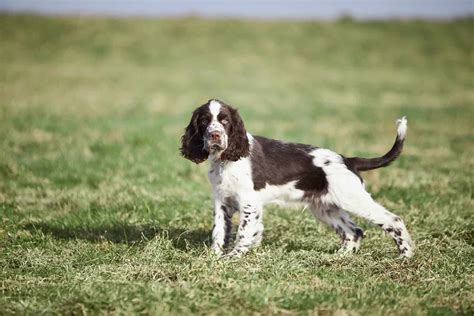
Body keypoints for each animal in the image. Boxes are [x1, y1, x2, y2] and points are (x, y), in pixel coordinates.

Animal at [180, 100, 412, 258]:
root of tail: (348, 160)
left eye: (225, 120)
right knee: (354, 231)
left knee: (393, 220)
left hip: (353, 199)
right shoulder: (222, 201)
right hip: (325, 207)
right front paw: (214, 256)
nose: (215, 135)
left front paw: (233, 256)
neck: (226, 159)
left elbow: (244, 232)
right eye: (204, 121)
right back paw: (341, 256)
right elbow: (219, 231)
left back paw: (406, 255)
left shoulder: (249, 201)